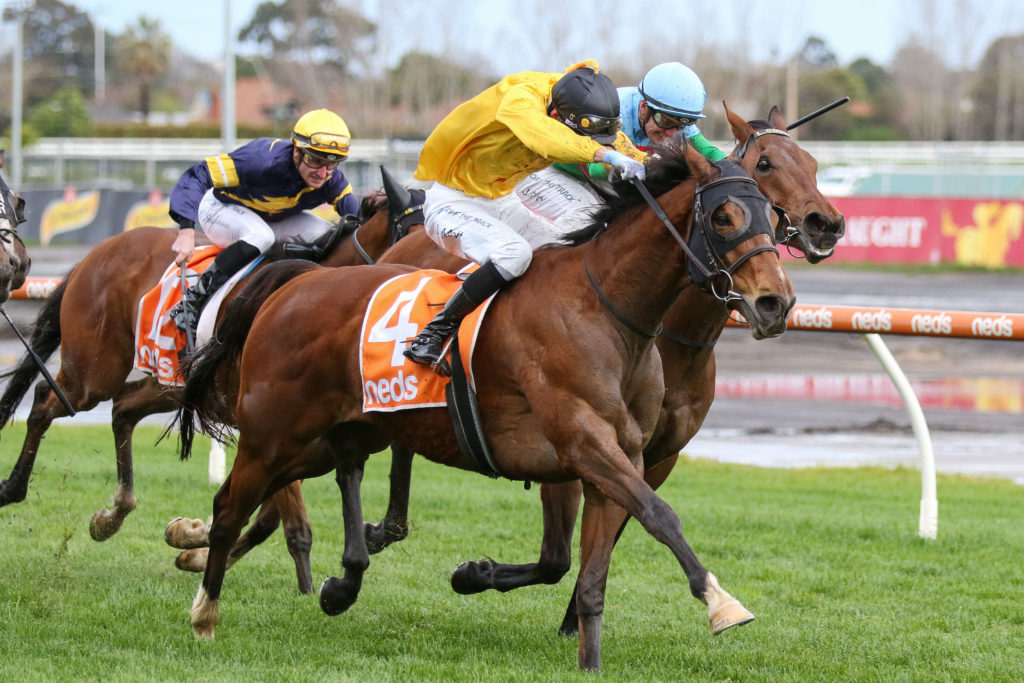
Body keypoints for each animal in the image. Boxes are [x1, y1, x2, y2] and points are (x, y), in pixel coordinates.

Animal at [0, 194, 409, 580]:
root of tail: (101, 249)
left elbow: (267, 514)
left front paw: (195, 543)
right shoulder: (269, 429)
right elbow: (272, 511)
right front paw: (201, 541)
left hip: (170, 383)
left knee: (123, 407)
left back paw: (114, 513)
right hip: (95, 372)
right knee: (45, 401)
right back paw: (13, 487)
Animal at [166, 104, 843, 600]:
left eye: (812, 161)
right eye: (761, 168)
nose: (826, 225)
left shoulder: (652, 454)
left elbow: (596, 542)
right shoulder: (576, 443)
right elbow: (568, 551)